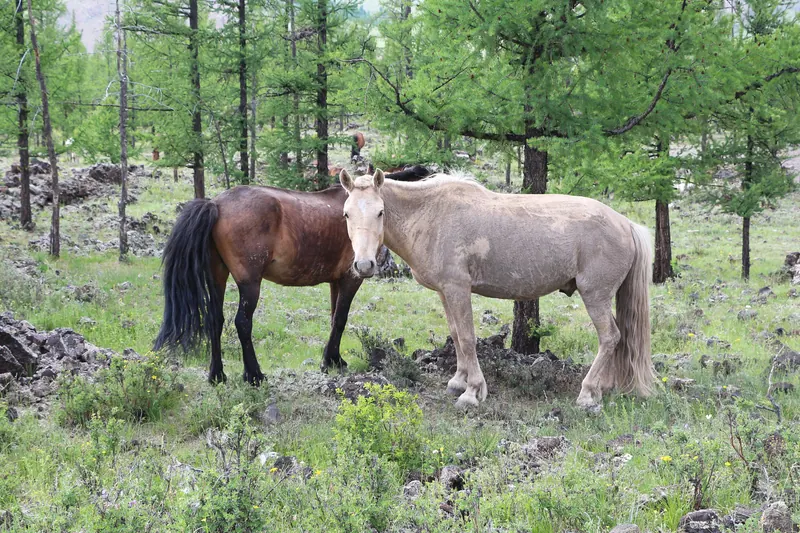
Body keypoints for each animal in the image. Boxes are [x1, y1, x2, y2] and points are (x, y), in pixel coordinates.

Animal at [153, 170, 422, 385]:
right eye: (348, 215)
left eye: (380, 212)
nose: (365, 264)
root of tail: (215, 205)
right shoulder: (350, 279)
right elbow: (341, 319)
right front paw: (331, 362)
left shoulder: (335, 281)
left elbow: (334, 317)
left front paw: (332, 359)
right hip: (249, 284)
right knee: (242, 323)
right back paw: (254, 375)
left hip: (218, 276)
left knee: (214, 320)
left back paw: (216, 375)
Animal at [338, 169, 654, 410]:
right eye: (346, 214)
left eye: (380, 212)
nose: (364, 265)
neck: (432, 215)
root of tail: (625, 223)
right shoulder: (445, 292)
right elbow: (456, 334)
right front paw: (458, 381)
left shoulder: (458, 289)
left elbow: (467, 338)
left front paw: (472, 392)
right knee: (617, 338)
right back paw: (602, 389)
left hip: (595, 296)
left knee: (609, 337)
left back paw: (587, 393)